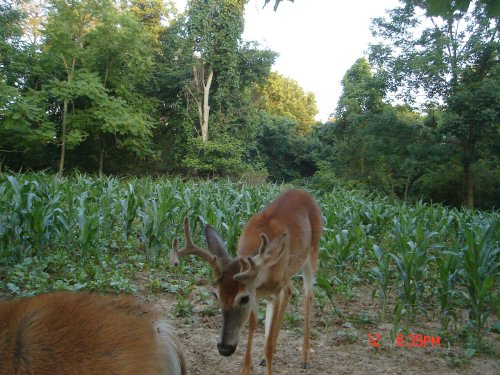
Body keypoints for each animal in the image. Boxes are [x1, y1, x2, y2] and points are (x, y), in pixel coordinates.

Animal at [170, 189, 322, 374]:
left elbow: (267, 345)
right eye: (216, 296)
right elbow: (253, 325)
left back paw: (305, 357)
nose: (224, 348)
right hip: (288, 273)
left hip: (313, 252)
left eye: (243, 298)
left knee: (308, 296)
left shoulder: (272, 291)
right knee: (290, 289)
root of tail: (303, 192)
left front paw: (268, 356)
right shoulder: (257, 291)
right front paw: (248, 366)